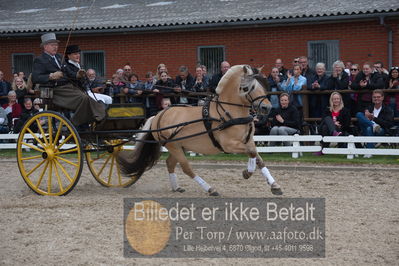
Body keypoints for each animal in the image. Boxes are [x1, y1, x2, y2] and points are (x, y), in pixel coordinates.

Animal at [117, 65, 282, 195]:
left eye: (262, 86)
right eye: (248, 88)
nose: (266, 108)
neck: (229, 113)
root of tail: (159, 115)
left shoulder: (248, 141)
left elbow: (258, 158)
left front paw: (274, 186)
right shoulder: (228, 145)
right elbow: (253, 154)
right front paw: (247, 172)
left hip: (179, 146)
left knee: (170, 163)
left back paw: (177, 187)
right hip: (174, 146)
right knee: (186, 168)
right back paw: (210, 189)